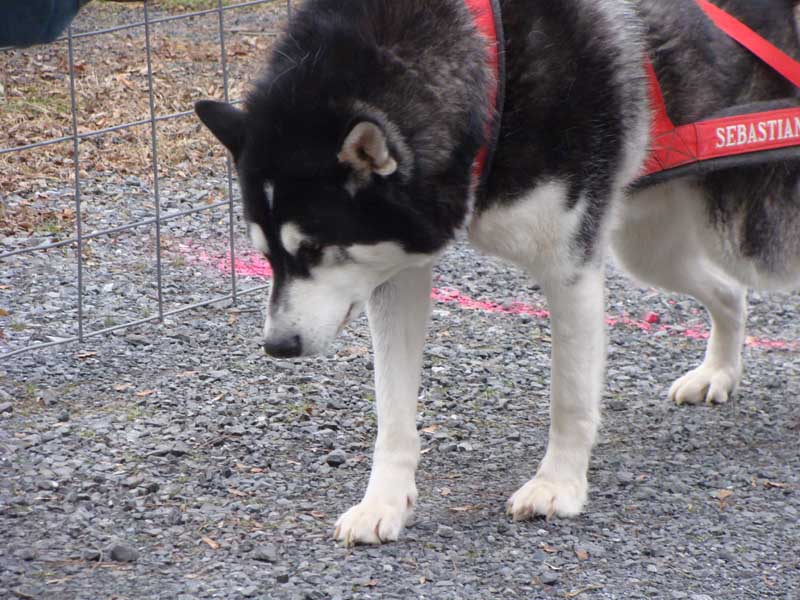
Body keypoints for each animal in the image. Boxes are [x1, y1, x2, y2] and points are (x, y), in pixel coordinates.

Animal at [194, 0, 800, 544]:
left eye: (316, 247)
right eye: (266, 255)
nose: (277, 347)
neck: (490, 63)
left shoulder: (568, 268)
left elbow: (570, 396)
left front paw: (558, 486)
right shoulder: (396, 272)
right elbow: (392, 411)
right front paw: (382, 503)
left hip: (749, 238)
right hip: (648, 246)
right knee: (730, 293)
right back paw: (718, 371)